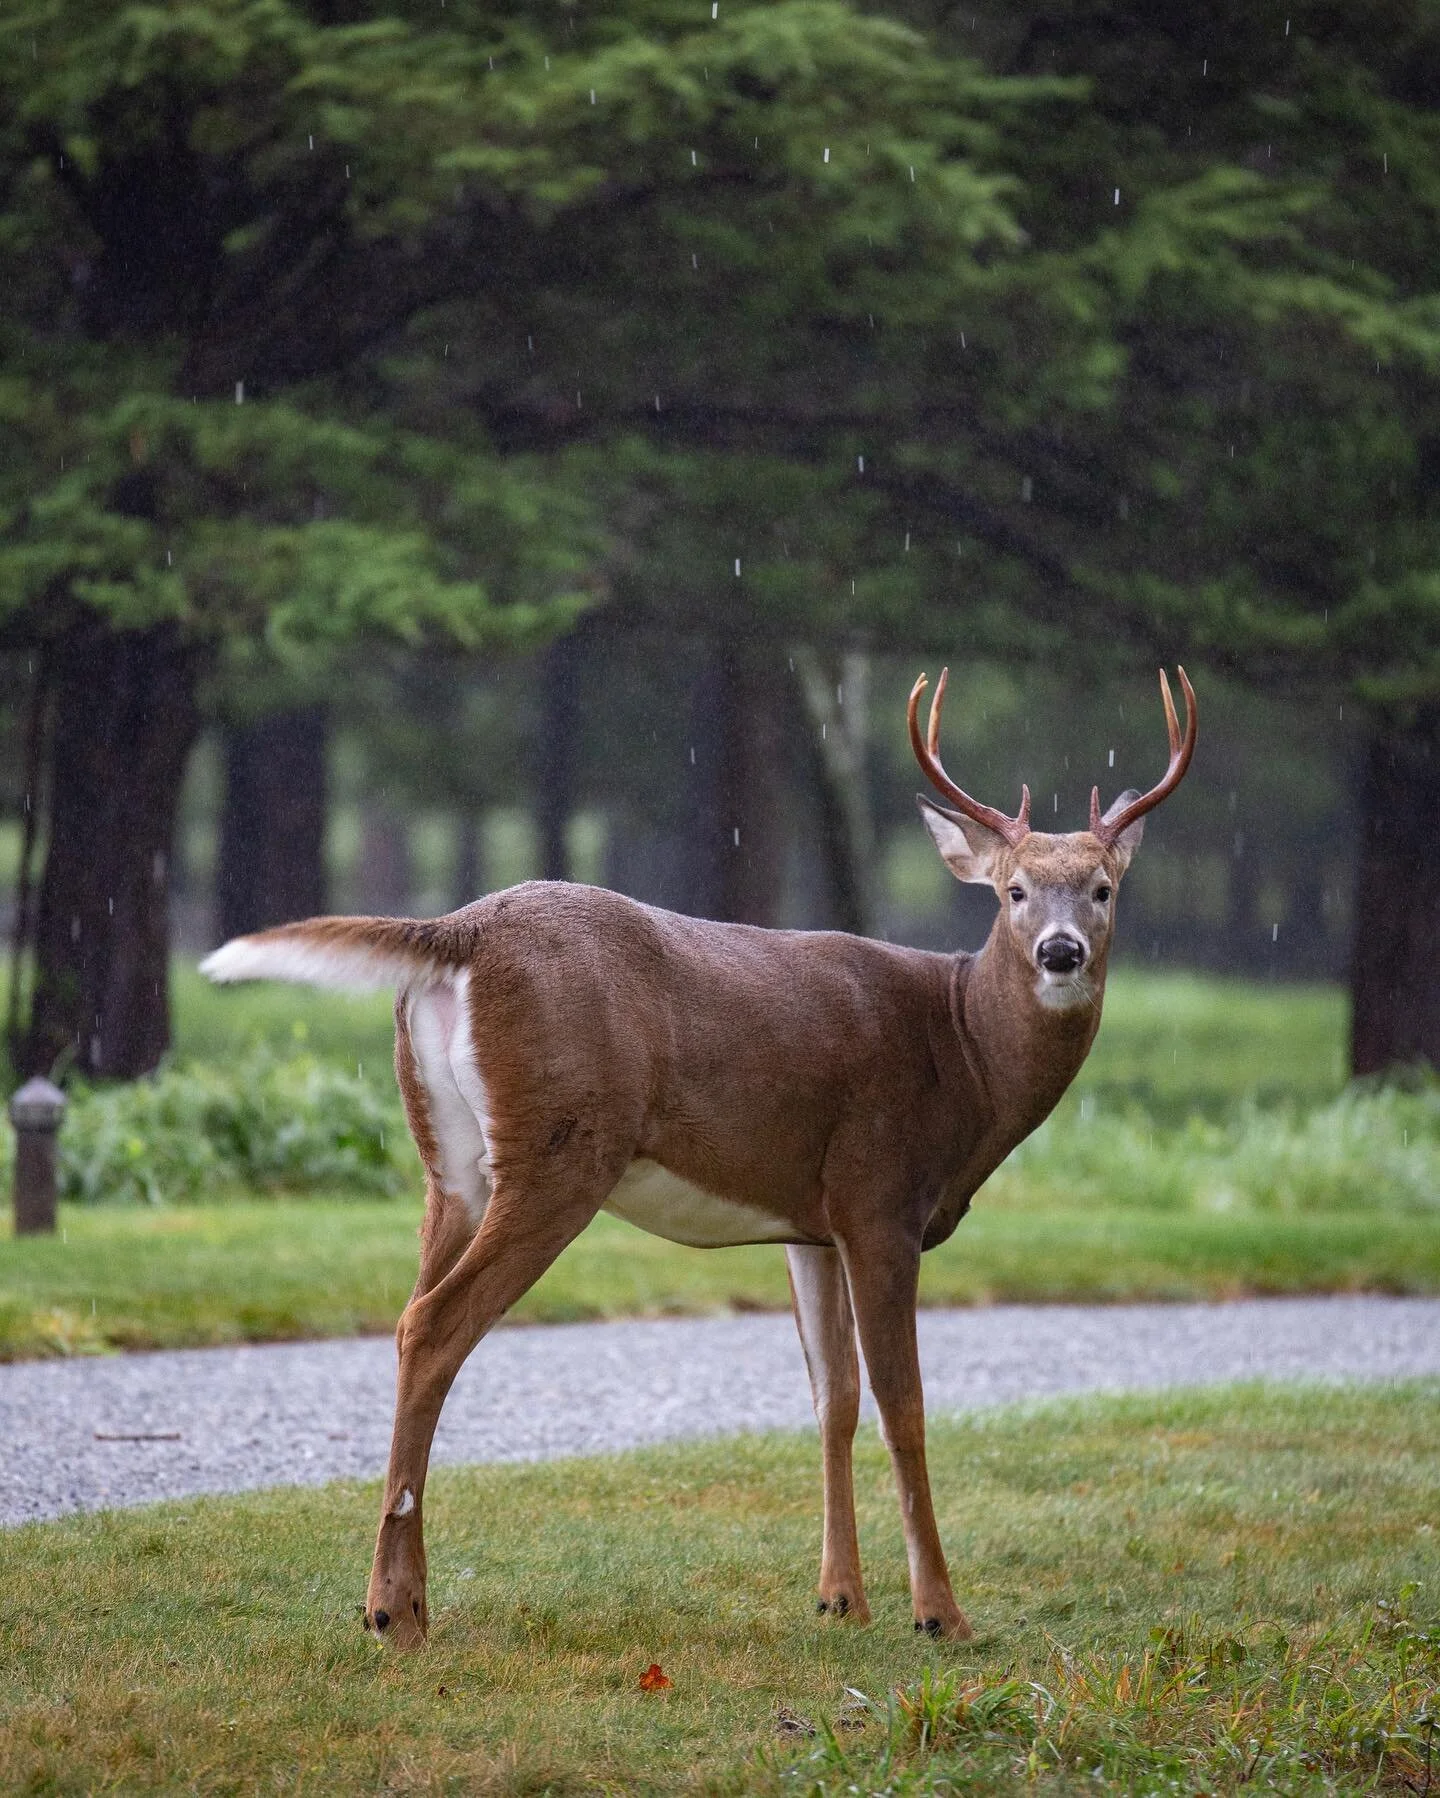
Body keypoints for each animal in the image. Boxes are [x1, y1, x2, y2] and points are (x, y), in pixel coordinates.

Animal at [200, 664, 1196, 1649]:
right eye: (1014, 891)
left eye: (1103, 888)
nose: (1061, 952)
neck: (964, 1053)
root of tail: (462, 931)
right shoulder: (880, 1197)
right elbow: (902, 1404)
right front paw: (938, 1614)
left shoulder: (813, 1223)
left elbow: (833, 1397)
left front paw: (840, 1599)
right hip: (560, 1151)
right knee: (431, 1325)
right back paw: (397, 1612)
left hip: (449, 1165)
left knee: (413, 1310)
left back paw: (391, 1598)